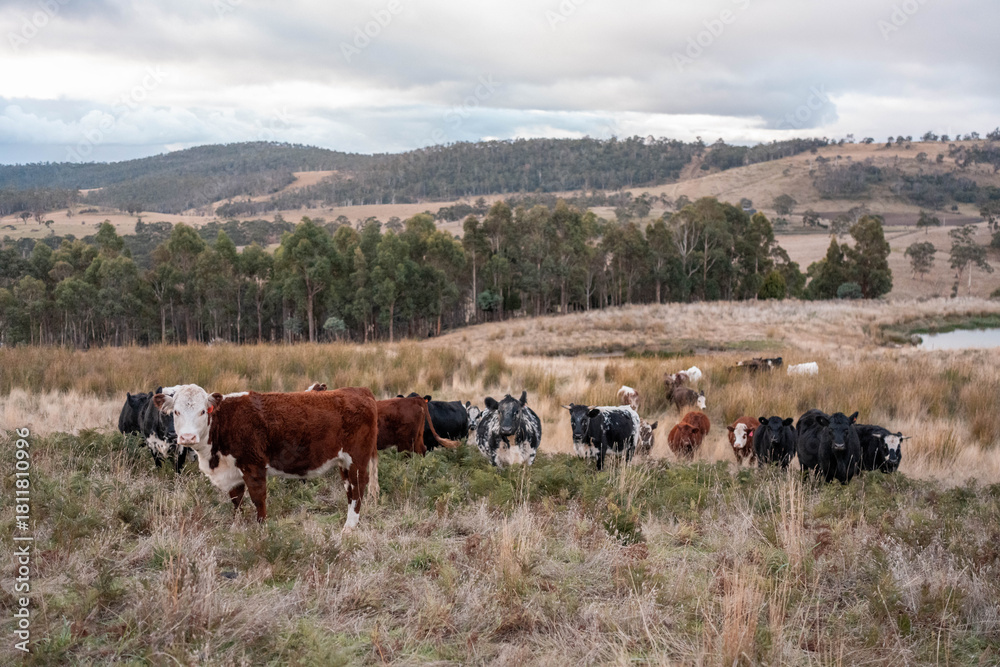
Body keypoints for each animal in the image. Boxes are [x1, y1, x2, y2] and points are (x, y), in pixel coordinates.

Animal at [153, 384, 379, 533]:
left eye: (202, 411)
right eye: (176, 412)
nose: (187, 437)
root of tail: (359, 390)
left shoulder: (253, 465)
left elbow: (258, 498)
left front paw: (261, 529)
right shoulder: (233, 471)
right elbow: (236, 499)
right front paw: (236, 527)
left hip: (357, 459)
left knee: (359, 487)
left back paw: (349, 527)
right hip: (343, 462)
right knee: (350, 490)